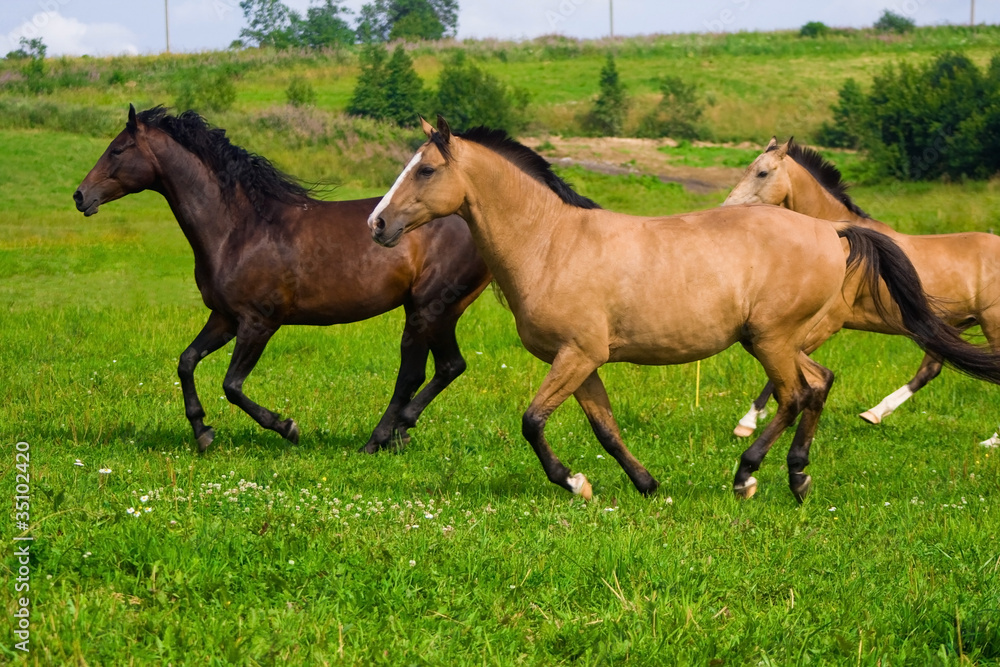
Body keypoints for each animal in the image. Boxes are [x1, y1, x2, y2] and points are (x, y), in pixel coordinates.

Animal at [73, 107, 488, 454]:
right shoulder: (225, 318)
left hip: (426, 307)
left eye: (117, 150)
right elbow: (186, 361)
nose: (80, 195)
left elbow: (232, 385)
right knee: (446, 367)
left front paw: (287, 427)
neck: (239, 229)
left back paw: (380, 437)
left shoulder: (260, 322)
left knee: (419, 371)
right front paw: (202, 431)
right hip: (442, 311)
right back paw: (399, 432)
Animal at [724, 138, 1000, 446]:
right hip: (950, 327)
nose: (727, 208)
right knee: (929, 370)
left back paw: (992, 441)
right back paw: (874, 413)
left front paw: (748, 422)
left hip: (992, 324)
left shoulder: (827, 323)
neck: (841, 240)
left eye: (762, 173)